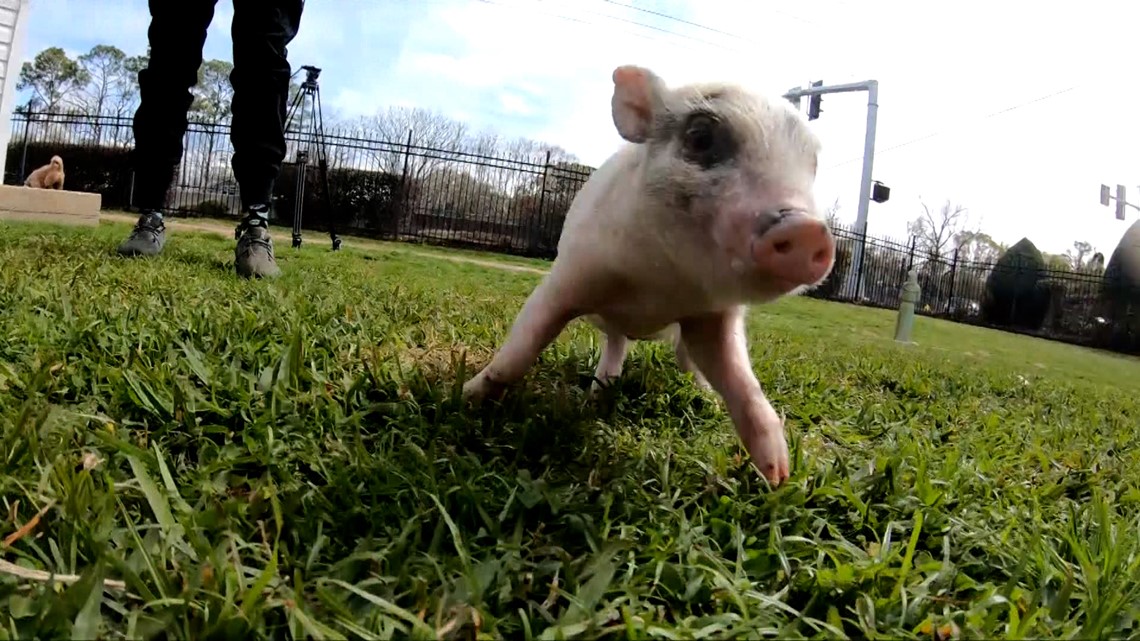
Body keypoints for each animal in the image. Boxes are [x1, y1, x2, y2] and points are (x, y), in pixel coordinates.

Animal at [461, 65, 836, 486]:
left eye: (813, 164)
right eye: (700, 136)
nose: (808, 230)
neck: (658, 287)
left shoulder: (712, 316)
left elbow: (743, 383)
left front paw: (777, 475)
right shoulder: (568, 277)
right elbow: (521, 349)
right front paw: (465, 396)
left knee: (683, 359)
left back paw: (703, 396)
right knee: (615, 344)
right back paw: (598, 394)